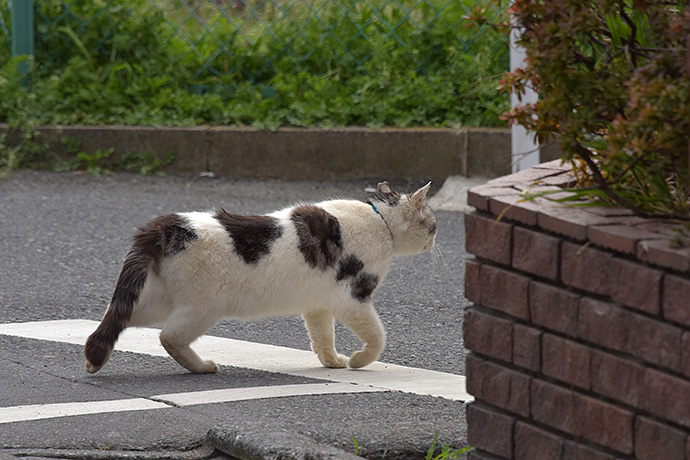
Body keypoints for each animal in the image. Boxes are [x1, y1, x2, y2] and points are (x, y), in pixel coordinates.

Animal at [83, 181, 432, 374]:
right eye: (433, 224)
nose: (434, 240)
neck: (380, 220)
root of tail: (164, 226)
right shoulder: (353, 297)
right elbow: (377, 337)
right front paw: (359, 361)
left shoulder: (318, 304)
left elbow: (322, 337)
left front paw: (332, 362)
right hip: (202, 307)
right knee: (169, 337)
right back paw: (202, 367)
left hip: (156, 301)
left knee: (116, 319)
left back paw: (94, 361)